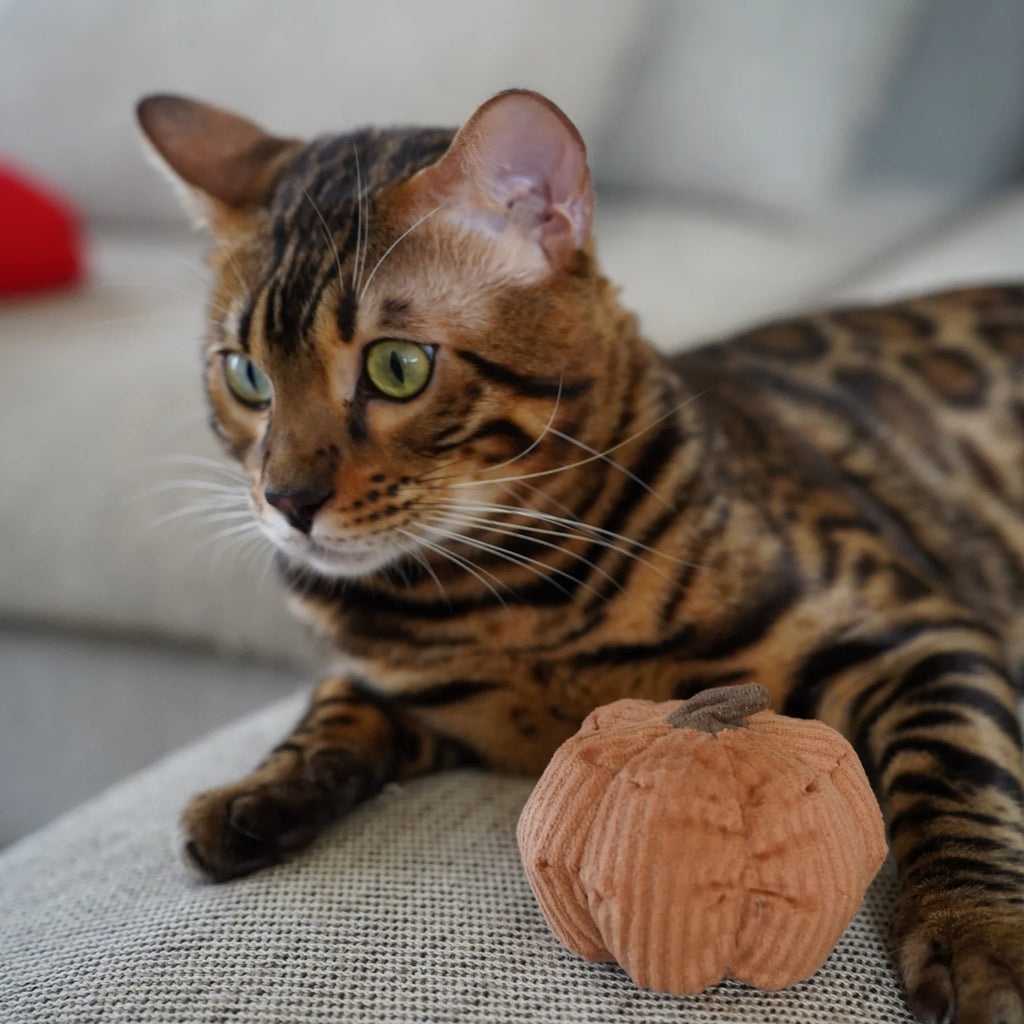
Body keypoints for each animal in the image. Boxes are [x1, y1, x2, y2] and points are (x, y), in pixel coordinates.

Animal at [140, 90, 1024, 1024]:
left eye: (398, 366)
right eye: (245, 376)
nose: (287, 500)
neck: (498, 598)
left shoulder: (917, 628)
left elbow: (956, 777)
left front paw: (975, 935)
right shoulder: (440, 707)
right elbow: (334, 704)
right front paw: (253, 794)